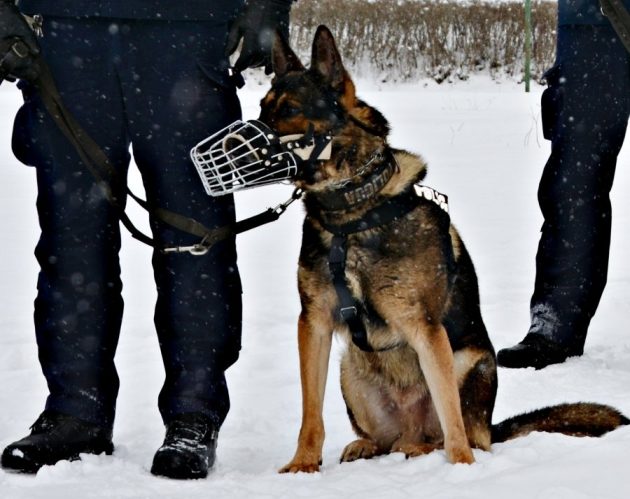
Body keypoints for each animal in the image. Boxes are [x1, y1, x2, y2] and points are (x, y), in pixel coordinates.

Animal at [258, 26, 630, 472]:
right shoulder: (313, 323)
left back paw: (434, 449)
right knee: (392, 440)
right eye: (262, 107)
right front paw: (303, 465)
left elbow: (451, 416)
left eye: (291, 109)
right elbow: (310, 411)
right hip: (352, 368)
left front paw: (462, 467)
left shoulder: (426, 329)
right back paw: (372, 445)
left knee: (457, 431)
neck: (353, 212)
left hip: (467, 361)